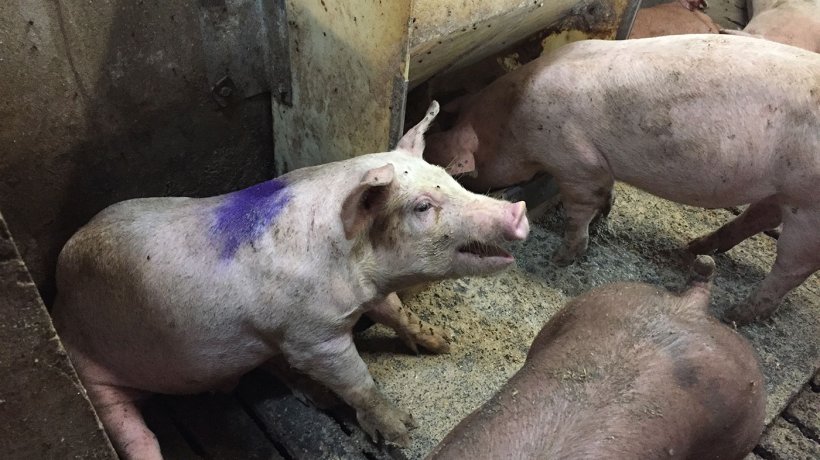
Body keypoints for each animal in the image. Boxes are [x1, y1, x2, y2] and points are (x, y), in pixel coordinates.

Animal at [49, 101, 532, 460]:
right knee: (133, 432)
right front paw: (403, 430)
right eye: (422, 207)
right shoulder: (312, 336)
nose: (518, 210)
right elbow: (356, 379)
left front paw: (439, 342)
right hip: (90, 374)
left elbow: (395, 312)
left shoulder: (365, 296)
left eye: (450, 179)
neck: (352, 268)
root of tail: (58, 301)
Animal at [426, 33, 820, 324]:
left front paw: (561, 258)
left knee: (793, 266)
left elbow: (580, 207)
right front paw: (605, 214)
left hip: (808, 205)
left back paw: (736, 314)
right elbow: (607, 191)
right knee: (758, 217)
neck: (510, 122)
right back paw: (696, 247)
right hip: (783, 191)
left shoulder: (574, 159)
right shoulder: (600, 165)